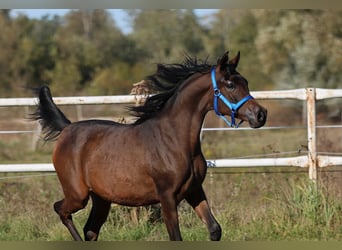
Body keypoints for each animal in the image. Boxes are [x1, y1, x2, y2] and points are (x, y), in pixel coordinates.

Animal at [32, 50, 268, 240]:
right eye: (230, 84)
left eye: (245, 82)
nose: (260, 115)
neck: (174, 140)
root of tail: (67, 128)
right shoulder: (167, 197)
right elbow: (176, 237)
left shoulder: (194, 190)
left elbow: (215, 229)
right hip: (78, 194)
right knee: (61, 210)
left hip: (102, 199)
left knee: (90, 230)